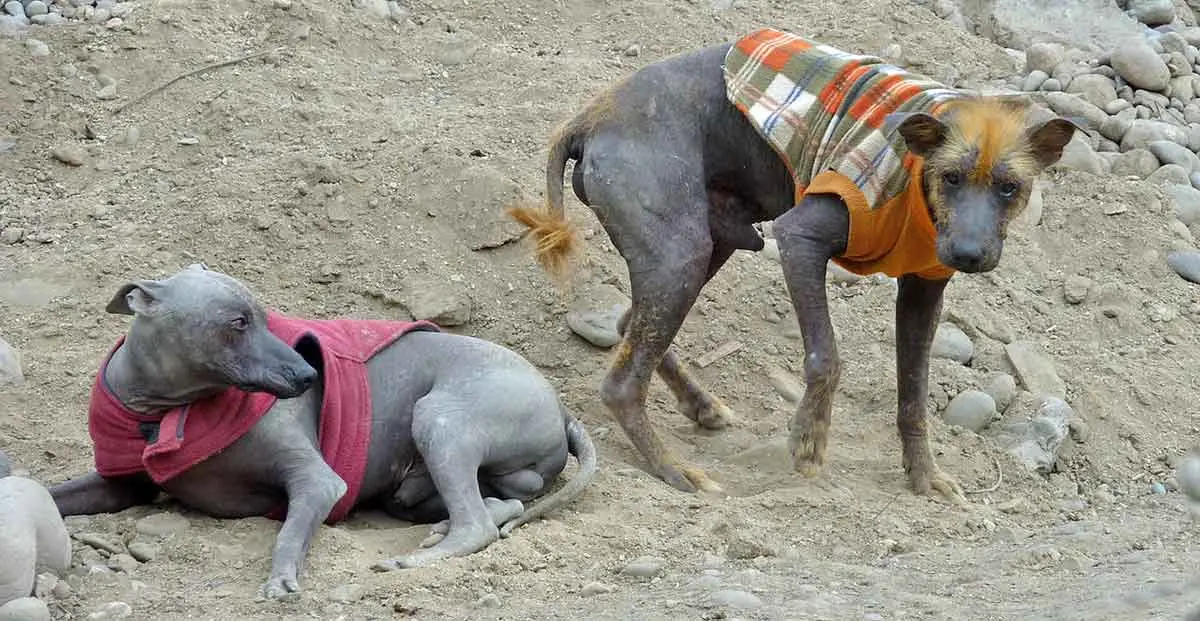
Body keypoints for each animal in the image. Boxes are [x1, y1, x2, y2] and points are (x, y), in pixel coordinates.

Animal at [49, 264, 597, 601]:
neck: (169, 412)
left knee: (478, 525)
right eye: (238, 322)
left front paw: (281, 579)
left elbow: (289, 533)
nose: (308, 375)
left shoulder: (320, 483)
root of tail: (563, 408)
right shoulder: (118, 484)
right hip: (417, 487)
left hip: (442, 418)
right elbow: (54, 494)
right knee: (507, 503)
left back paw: (418, 557)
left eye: (267, 317)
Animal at [506, 30, 1080, 505]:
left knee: (630, 324)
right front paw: (808, 439)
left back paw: (701, 407)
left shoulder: (923, 290)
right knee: (622, 385)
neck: (916, 183)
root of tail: (590, 117)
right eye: (951, 178)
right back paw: (675, 470)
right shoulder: (800, 240)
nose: (966, 254)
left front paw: (923, 475)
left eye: (1009, 188)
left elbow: (913, 395)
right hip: (683, 257)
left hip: (709, 245)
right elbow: (826, 357)